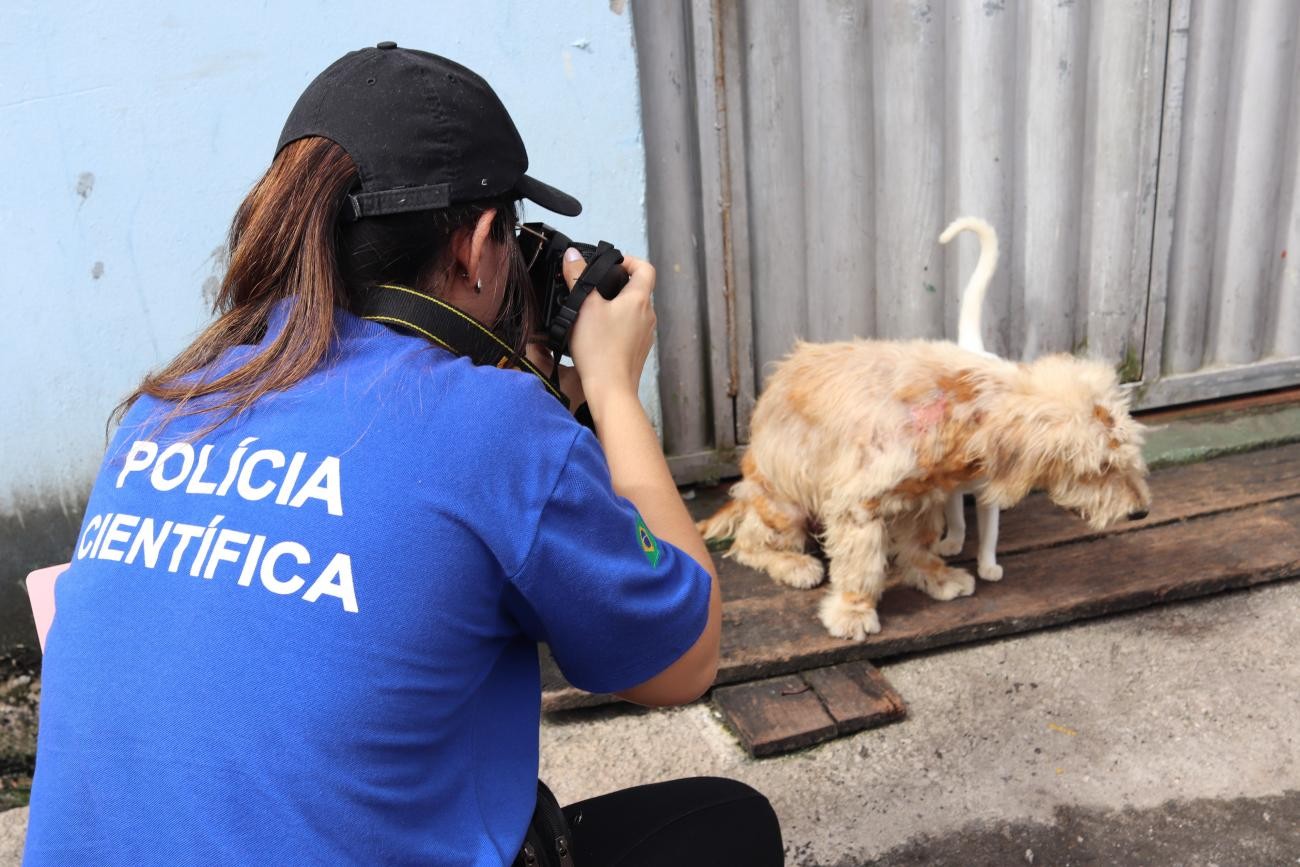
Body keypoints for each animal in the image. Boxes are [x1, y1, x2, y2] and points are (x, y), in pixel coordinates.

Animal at [702, 343, 1149, 642]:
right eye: (1102, 467)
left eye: (1127, 454)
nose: (1142, 512)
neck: (960, 407)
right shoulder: (857, 504)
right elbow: (860, 565)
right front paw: (853, 611)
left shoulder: (921, 497)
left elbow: (920, 544)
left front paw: (936, 576)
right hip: (784, 502)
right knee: (747, 544)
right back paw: (794, 565)